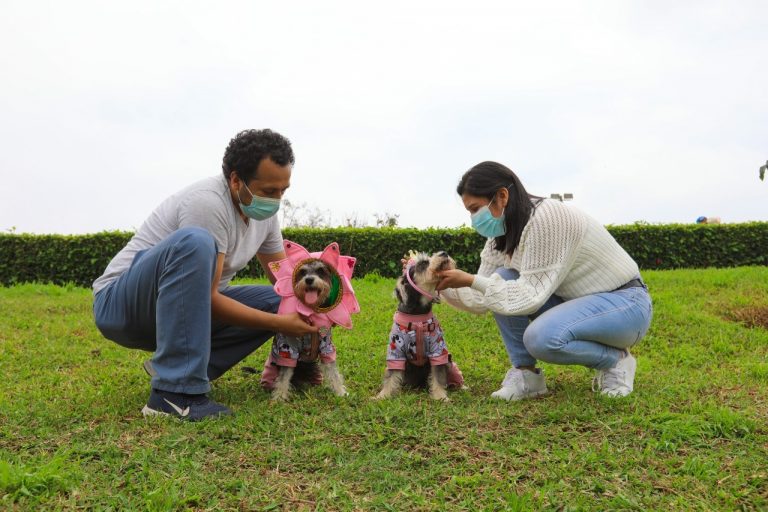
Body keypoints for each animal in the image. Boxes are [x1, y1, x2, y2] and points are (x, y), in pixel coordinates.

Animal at [262, 258, 350, 402]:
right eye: (302, 272)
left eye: (321, 271)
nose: (309, 280)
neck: (311, 314)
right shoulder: (288, 349)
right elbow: (284, 376)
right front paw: (280, 396)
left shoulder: (326, 346)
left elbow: (333, 371)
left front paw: (340, 391)